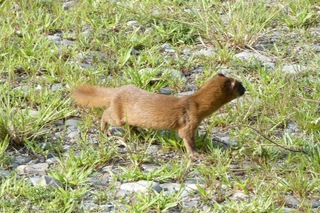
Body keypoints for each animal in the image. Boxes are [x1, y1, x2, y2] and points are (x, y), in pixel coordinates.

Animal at [72, 73, 246, 155]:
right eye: (240, 85)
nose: (245, 89)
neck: (197, 102)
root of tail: (119, 89)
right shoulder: (190, 119)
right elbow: (186, 136)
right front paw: (195, 153)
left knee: (130, 126)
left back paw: (140, 134)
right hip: (118, 114)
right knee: (106, 114)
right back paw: (104, 130)